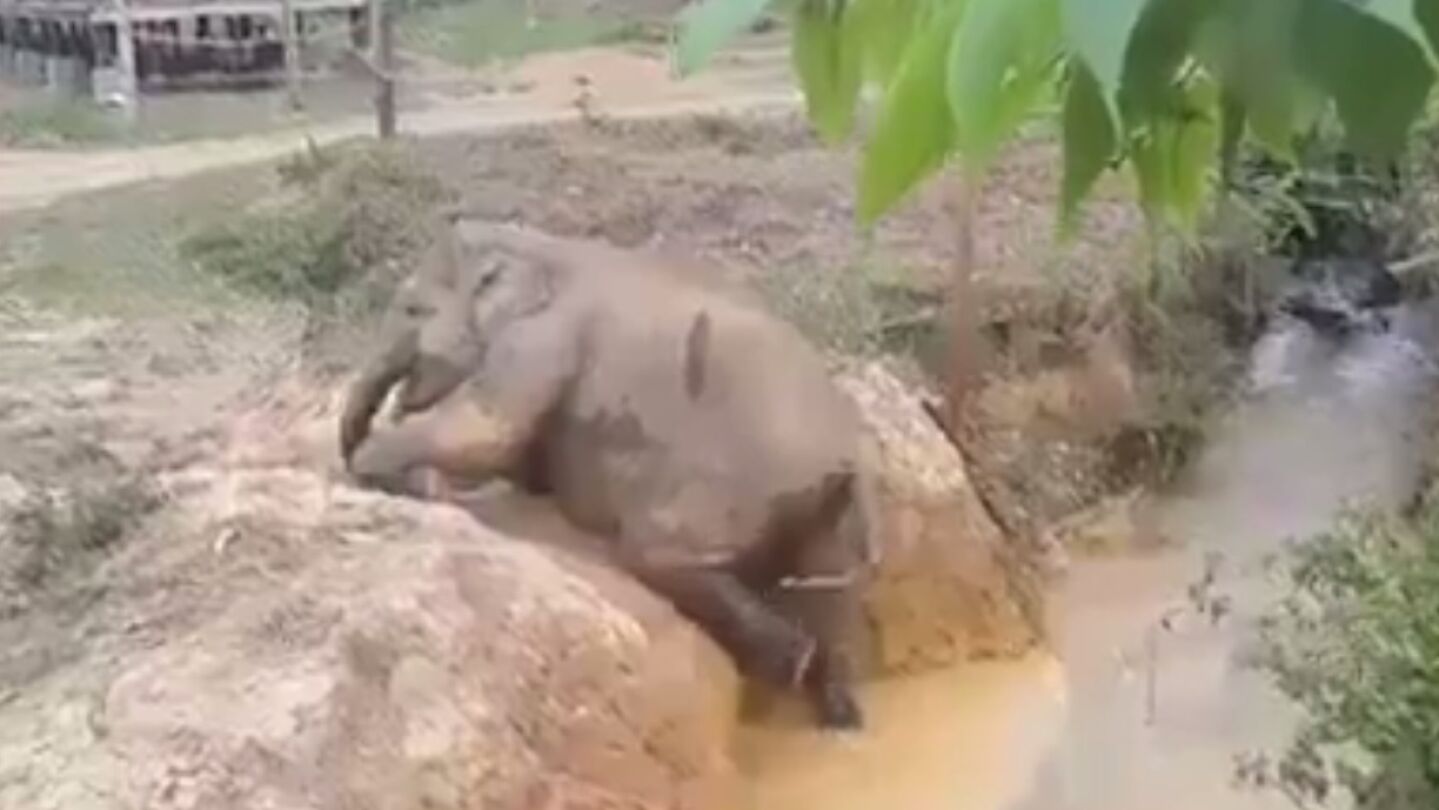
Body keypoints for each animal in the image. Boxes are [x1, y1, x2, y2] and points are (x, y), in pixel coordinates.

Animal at [339, 218, 881, 730]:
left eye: (413, 309)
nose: (351, 450)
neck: (532, 241)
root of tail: (844, 456)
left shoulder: (542, 337)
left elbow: (489, 428)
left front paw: (377, 466)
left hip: (726, 489)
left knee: (656, 555)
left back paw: (791, 662)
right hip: (830, 513)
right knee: (831, 596)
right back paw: (840, 713)